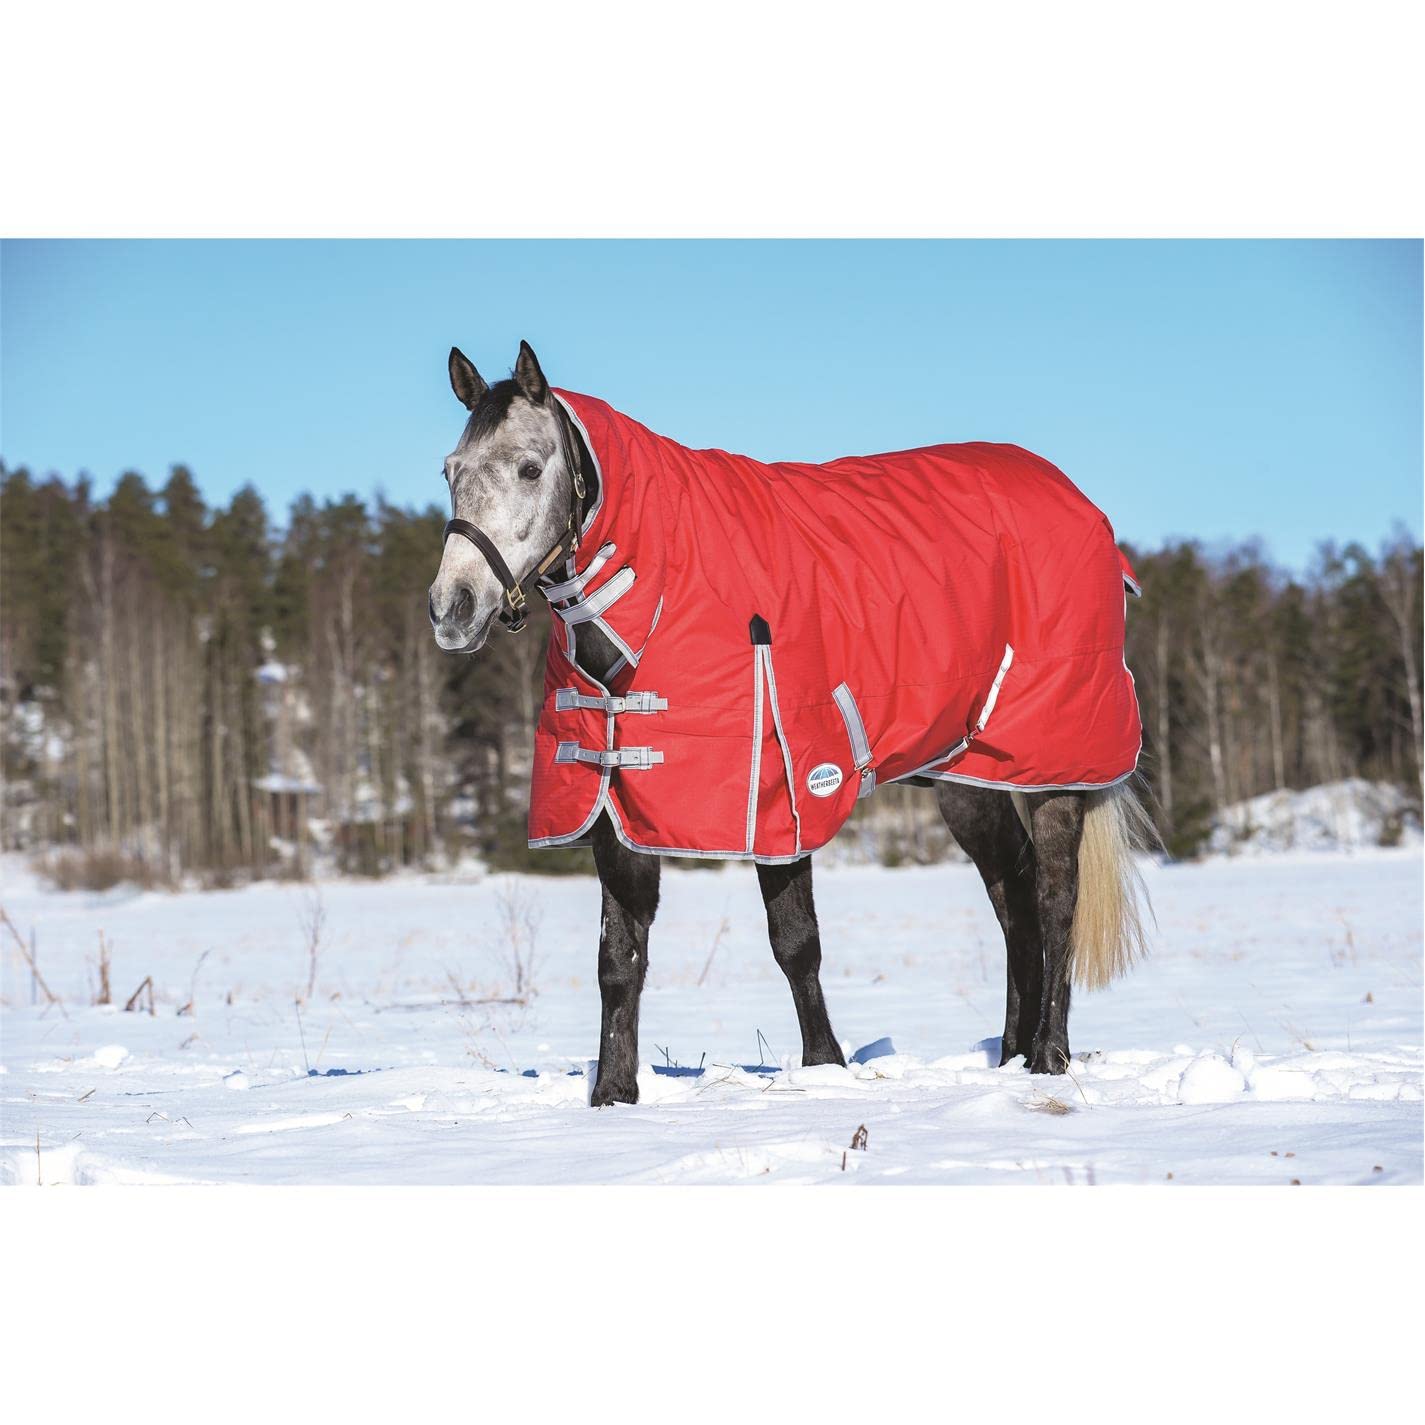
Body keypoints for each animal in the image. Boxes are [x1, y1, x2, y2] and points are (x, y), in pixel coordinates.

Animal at [429, 340, 1152, 1106]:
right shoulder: (617, 807)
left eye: (530, 468)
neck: (660, 582)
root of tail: (1080, 505)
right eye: (450, 471)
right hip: (971, 778)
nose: (452, 608)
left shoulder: (786, 792)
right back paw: (1012, 1053)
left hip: (1054, 768)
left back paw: (1048, 1056)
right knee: (1012, 897)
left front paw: (824, 1066)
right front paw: (614, 1095)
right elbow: (618, 957)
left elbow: (794, 939)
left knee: (1053, 898)